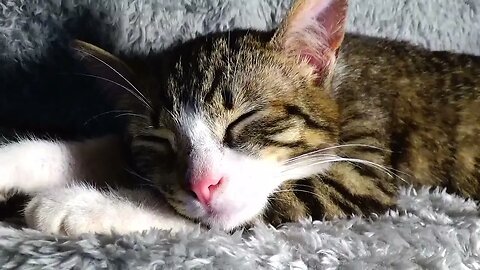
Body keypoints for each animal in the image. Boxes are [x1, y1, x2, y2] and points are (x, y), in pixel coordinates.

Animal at [1, 0, 478, 236]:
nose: (202, 184)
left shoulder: (362, 171)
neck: (340, 87)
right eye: (159, 139)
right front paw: (17, 162)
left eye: (243, 120)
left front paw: (86, 204)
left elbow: (233, 211)